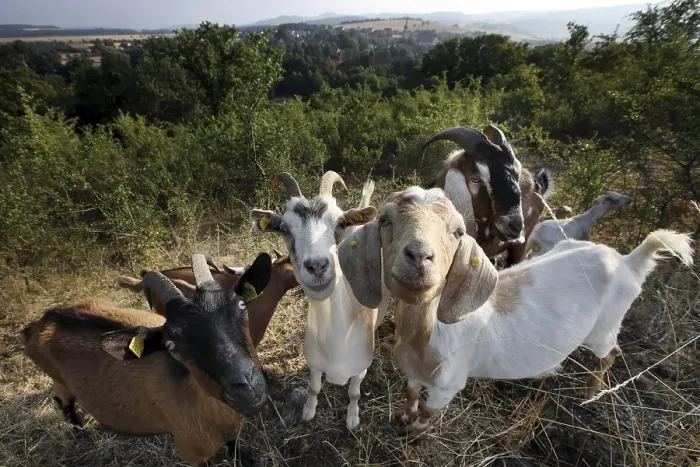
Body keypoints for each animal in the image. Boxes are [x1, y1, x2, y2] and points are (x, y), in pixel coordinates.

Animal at [23, 253, 272, 465]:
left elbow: (235, 449)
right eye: (171, 344)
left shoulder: (232, 434)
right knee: (63, 402)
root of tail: (41, 321)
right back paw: (80, 434)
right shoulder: (194, 452)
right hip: (60, 381)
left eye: (241, 305)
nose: (247, 391)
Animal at [250, 172, 388, 431]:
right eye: (283, 229)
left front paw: (352, 419)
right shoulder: (314, 362)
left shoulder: (360, 368)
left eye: (340, 223)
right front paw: (308, 411)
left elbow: (354, 393)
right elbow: (314, 387)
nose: (317, 266)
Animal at [338, 186, 693, 440]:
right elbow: (410, 394)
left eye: (457, 232)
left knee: (612, 353)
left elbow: (427, 412)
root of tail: (629, 262)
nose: (419, 257)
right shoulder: (413, 372)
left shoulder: (447, 385)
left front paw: (414, 434)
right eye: (385, 220)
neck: (427, 334)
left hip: (605, 328)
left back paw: (590, 393)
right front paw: (402, 420)